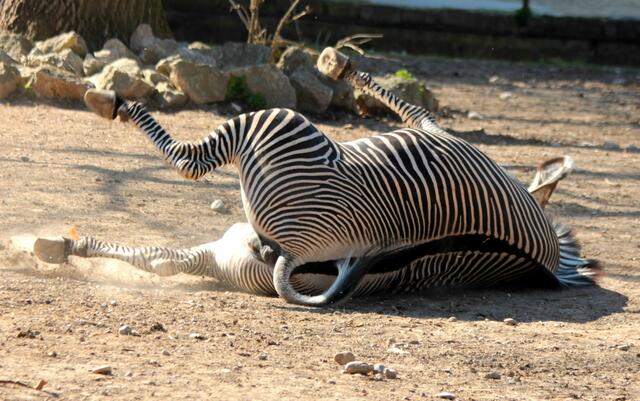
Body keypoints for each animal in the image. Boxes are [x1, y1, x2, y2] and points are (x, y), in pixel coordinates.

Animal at [37, 47, 599, 305]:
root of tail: (293, 255)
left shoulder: (432, 127)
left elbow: (405, 100)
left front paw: (338, 64)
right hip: (223, 255)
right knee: (161, 259)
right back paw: (54, 244)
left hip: (273, 125)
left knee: (188, 162)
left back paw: (107, 100)